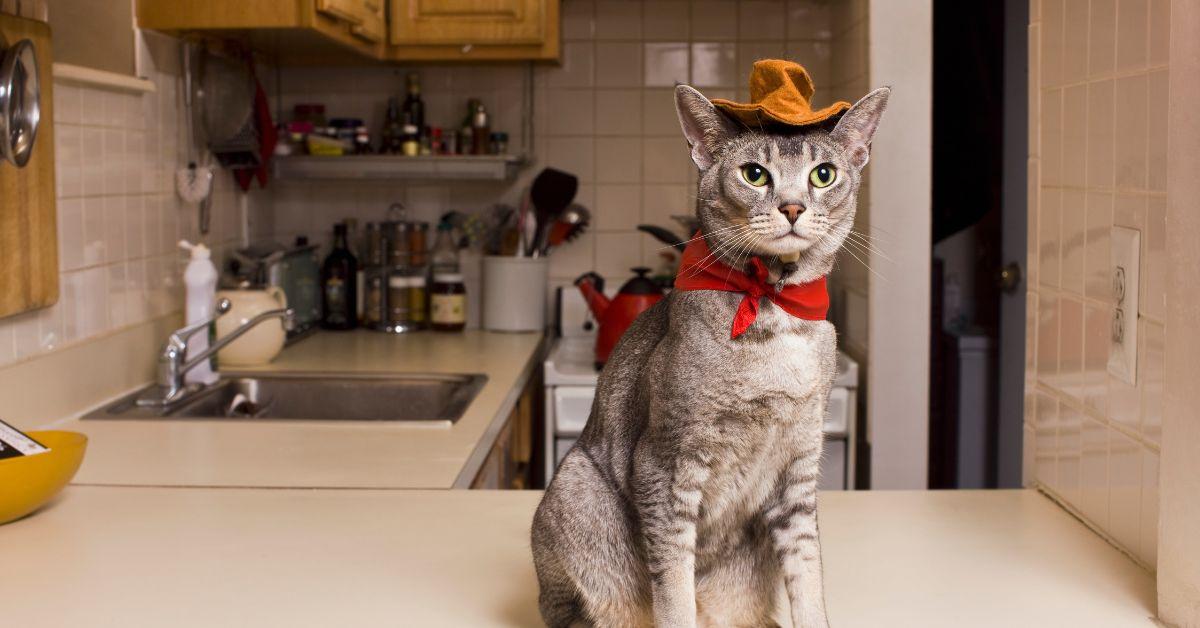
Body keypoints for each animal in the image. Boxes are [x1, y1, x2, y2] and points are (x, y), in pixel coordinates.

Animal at [530, 83, 888, 628]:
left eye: (823, 174)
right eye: (754, 174)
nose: (792, 208)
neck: (774, 313)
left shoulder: (799, 468)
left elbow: (808, 577)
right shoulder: (665, 464)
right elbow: (674, 591)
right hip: (576, 490)